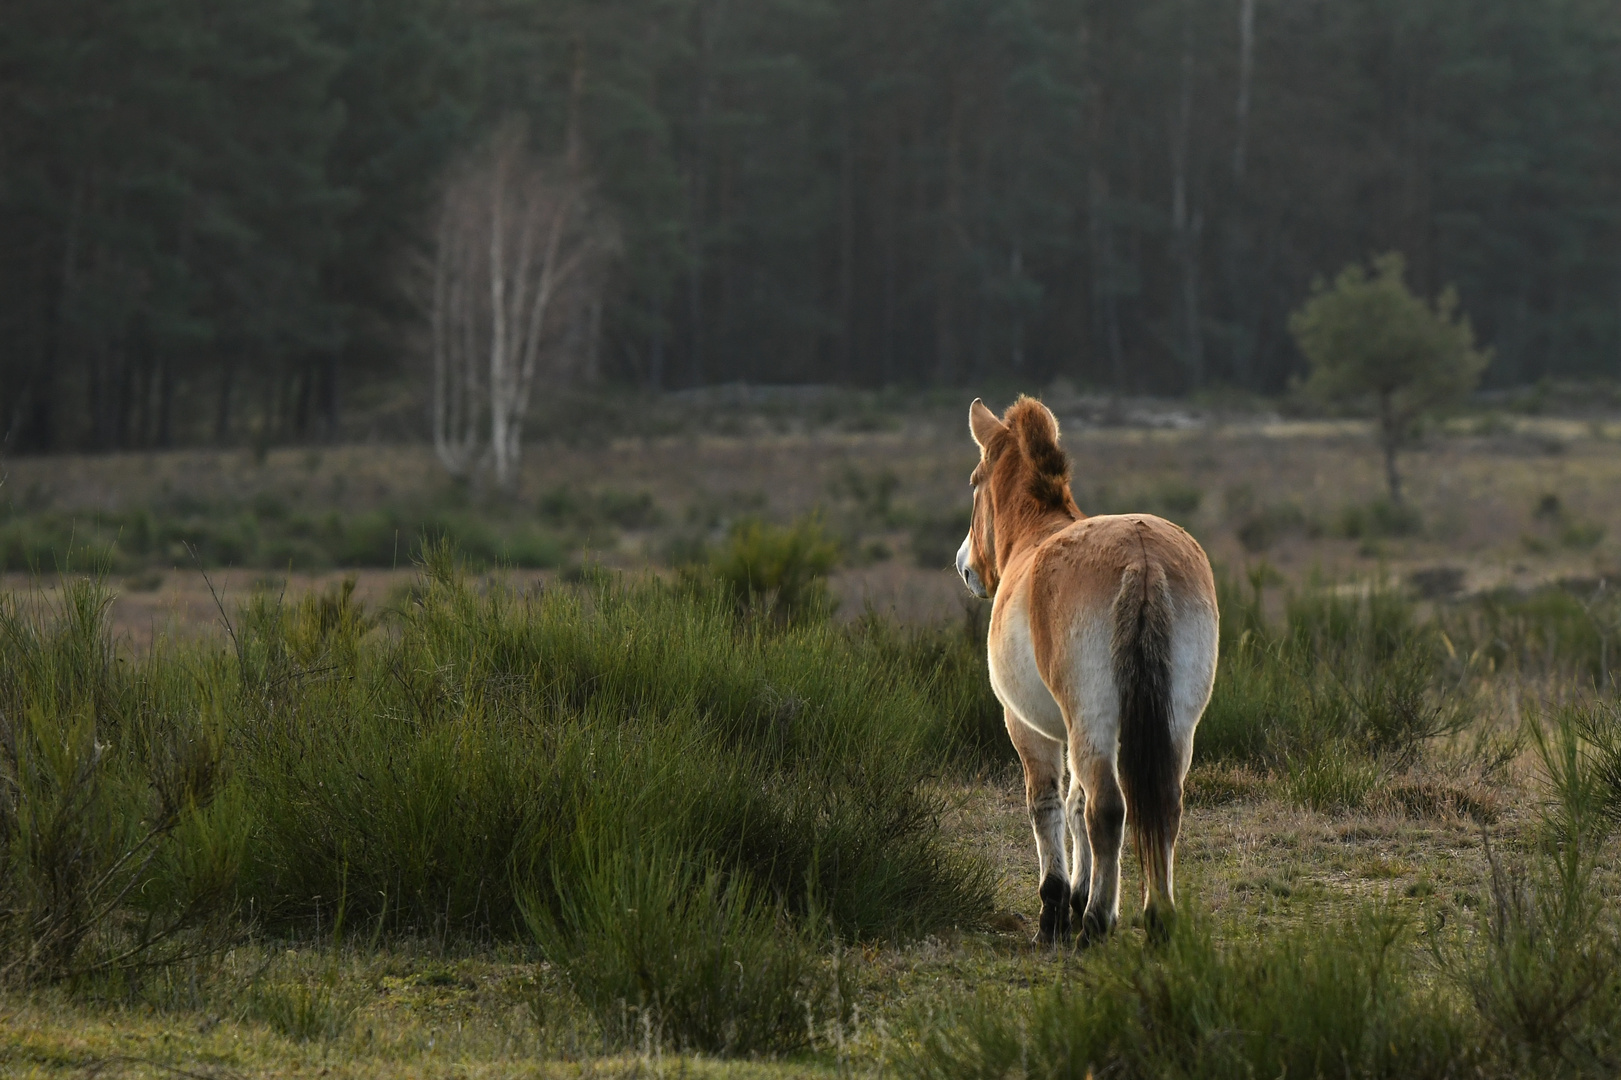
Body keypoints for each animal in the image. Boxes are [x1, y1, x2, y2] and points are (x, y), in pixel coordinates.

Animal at [946, 395, 1218, 940]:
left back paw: (1097, 921)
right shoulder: (1079, 733)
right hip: (1175, 722)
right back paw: (1157, 917)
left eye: (974, 480)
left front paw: (1056, 908)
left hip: (1090, 719)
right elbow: (1073, 807)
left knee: (1108, 809)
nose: (965, 567)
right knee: (1162, 804)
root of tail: (1142, 559)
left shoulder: (1028, 727)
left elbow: (1047, 805)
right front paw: (1076, 893)